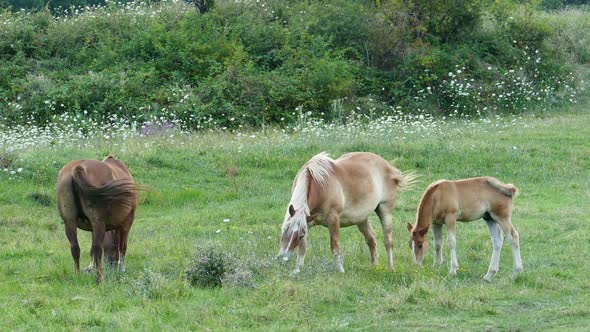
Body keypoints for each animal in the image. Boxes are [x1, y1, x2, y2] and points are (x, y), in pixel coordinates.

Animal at [278, 152, 416, 272]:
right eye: (284, 230)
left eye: (299, 235)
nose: (283, 258)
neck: (319, 185)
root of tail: (389, 167)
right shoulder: (308, 221)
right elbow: (303, 247)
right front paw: (297, 270)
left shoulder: (333, 219)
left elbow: (335, 245)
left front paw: (340, 270)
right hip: (362, 218)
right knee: (371, 239)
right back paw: (375, 266)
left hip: (385, 211)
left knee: (388, 241)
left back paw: (391, 268)